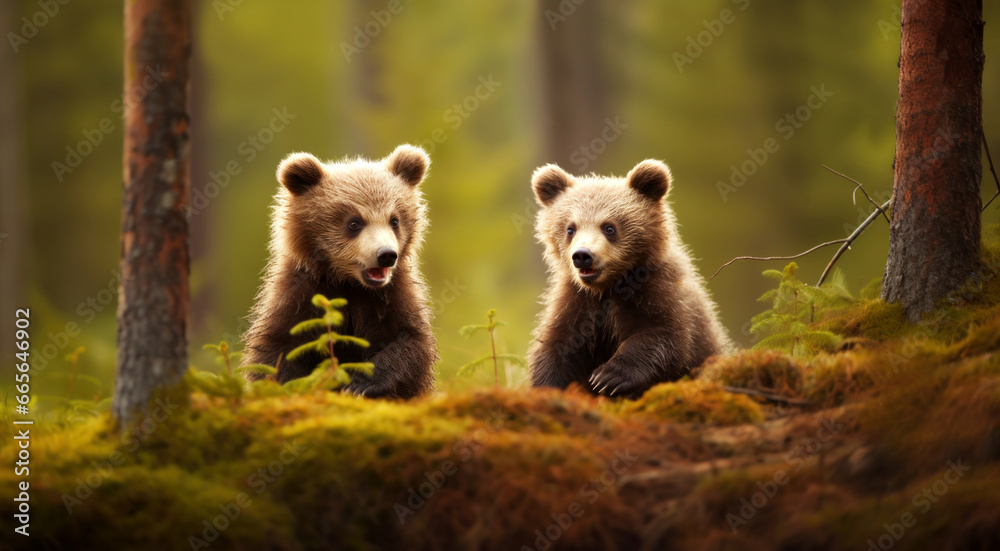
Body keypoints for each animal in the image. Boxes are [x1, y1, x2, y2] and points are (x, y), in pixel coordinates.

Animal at [241, 144, 438, 399]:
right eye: (354, 223)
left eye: (394, 220)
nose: (386, 254)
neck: (347, 282)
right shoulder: (300, 293)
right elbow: (276, 351)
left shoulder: (392, 295)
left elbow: (410, 342)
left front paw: (360, 384)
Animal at [527, 159, 732, 399]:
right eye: (570, 228)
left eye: (609, 227)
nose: (582, 255)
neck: (608, 286)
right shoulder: (576, 302)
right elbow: (557, 346)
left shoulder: (658, 291)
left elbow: (664, 335)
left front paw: (608, 377)